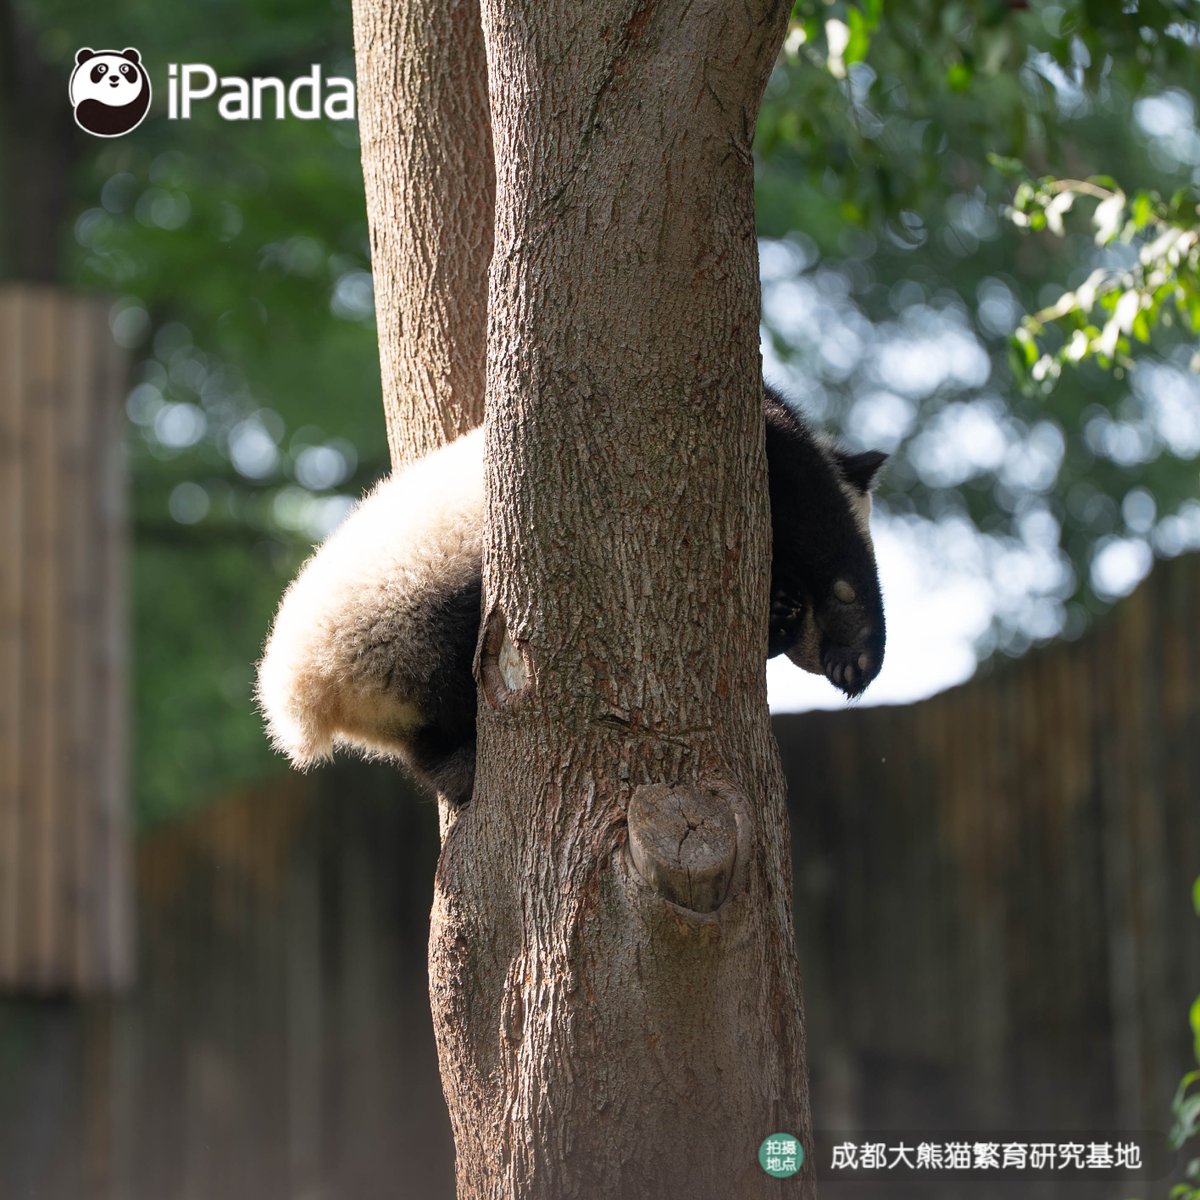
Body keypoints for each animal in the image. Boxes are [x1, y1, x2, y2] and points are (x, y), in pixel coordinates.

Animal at [256, 385, 886, 805]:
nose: (804, 644)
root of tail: (305, 689)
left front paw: (783, 613)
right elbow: (814, 510)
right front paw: (850, 641)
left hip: (406, 691)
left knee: (438, 752)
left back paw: (462, 770)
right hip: (417, 606)